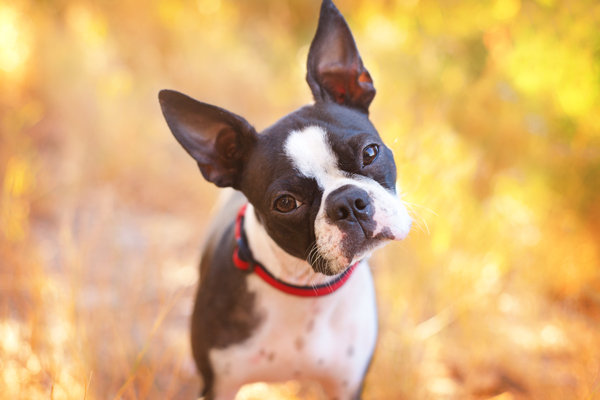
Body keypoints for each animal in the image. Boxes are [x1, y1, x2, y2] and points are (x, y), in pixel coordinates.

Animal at [159, 1, 412, 398]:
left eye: (370, 153)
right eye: (286, 203)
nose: (349, 203)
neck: (306, 289)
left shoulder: (347, 384)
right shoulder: (220, 384)